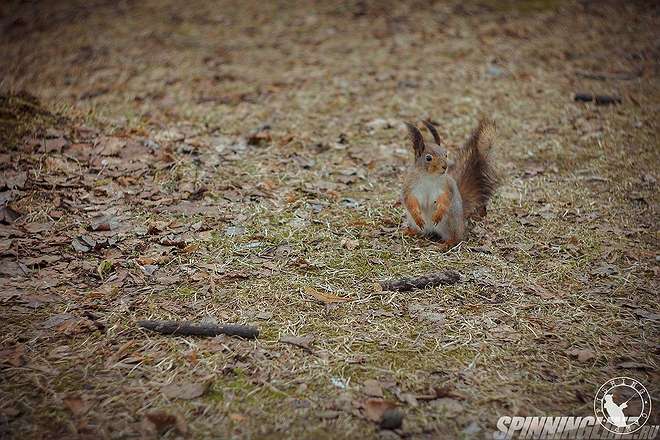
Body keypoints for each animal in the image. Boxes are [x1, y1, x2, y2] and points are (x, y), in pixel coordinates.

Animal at [398, 117, 500, 248]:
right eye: (428, 158)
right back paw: (409, 231)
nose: (445, 166)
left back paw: (446, 244)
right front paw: (417, 216)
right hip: (415, 222)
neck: (429, 176)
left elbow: (445, 198)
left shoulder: (446, 186)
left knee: (456, 238)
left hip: (450, 222)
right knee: (420, 230)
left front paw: (438, 214)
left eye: (446, 154)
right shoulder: (409, 186)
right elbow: (410, 200)